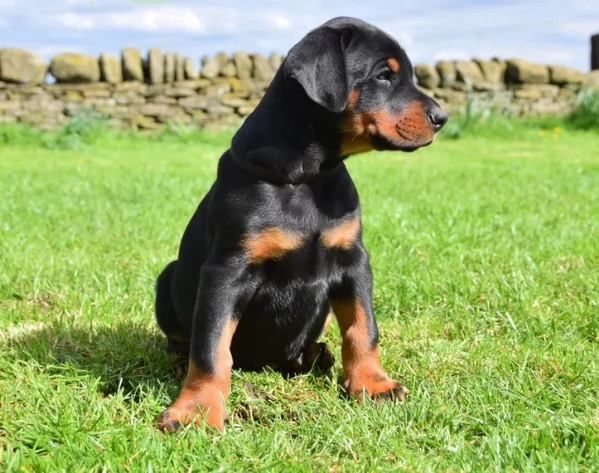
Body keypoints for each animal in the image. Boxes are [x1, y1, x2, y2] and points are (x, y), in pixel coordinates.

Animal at [154, 16, 446, 430]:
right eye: (383, 76)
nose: (442, 118)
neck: (309, 177)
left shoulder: (353, 261)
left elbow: (363, 328)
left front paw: (373, 384)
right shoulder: (226, 270)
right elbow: (211, 346)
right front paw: (195, 409)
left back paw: (315, 356)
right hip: (167, 279)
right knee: (184, 342)